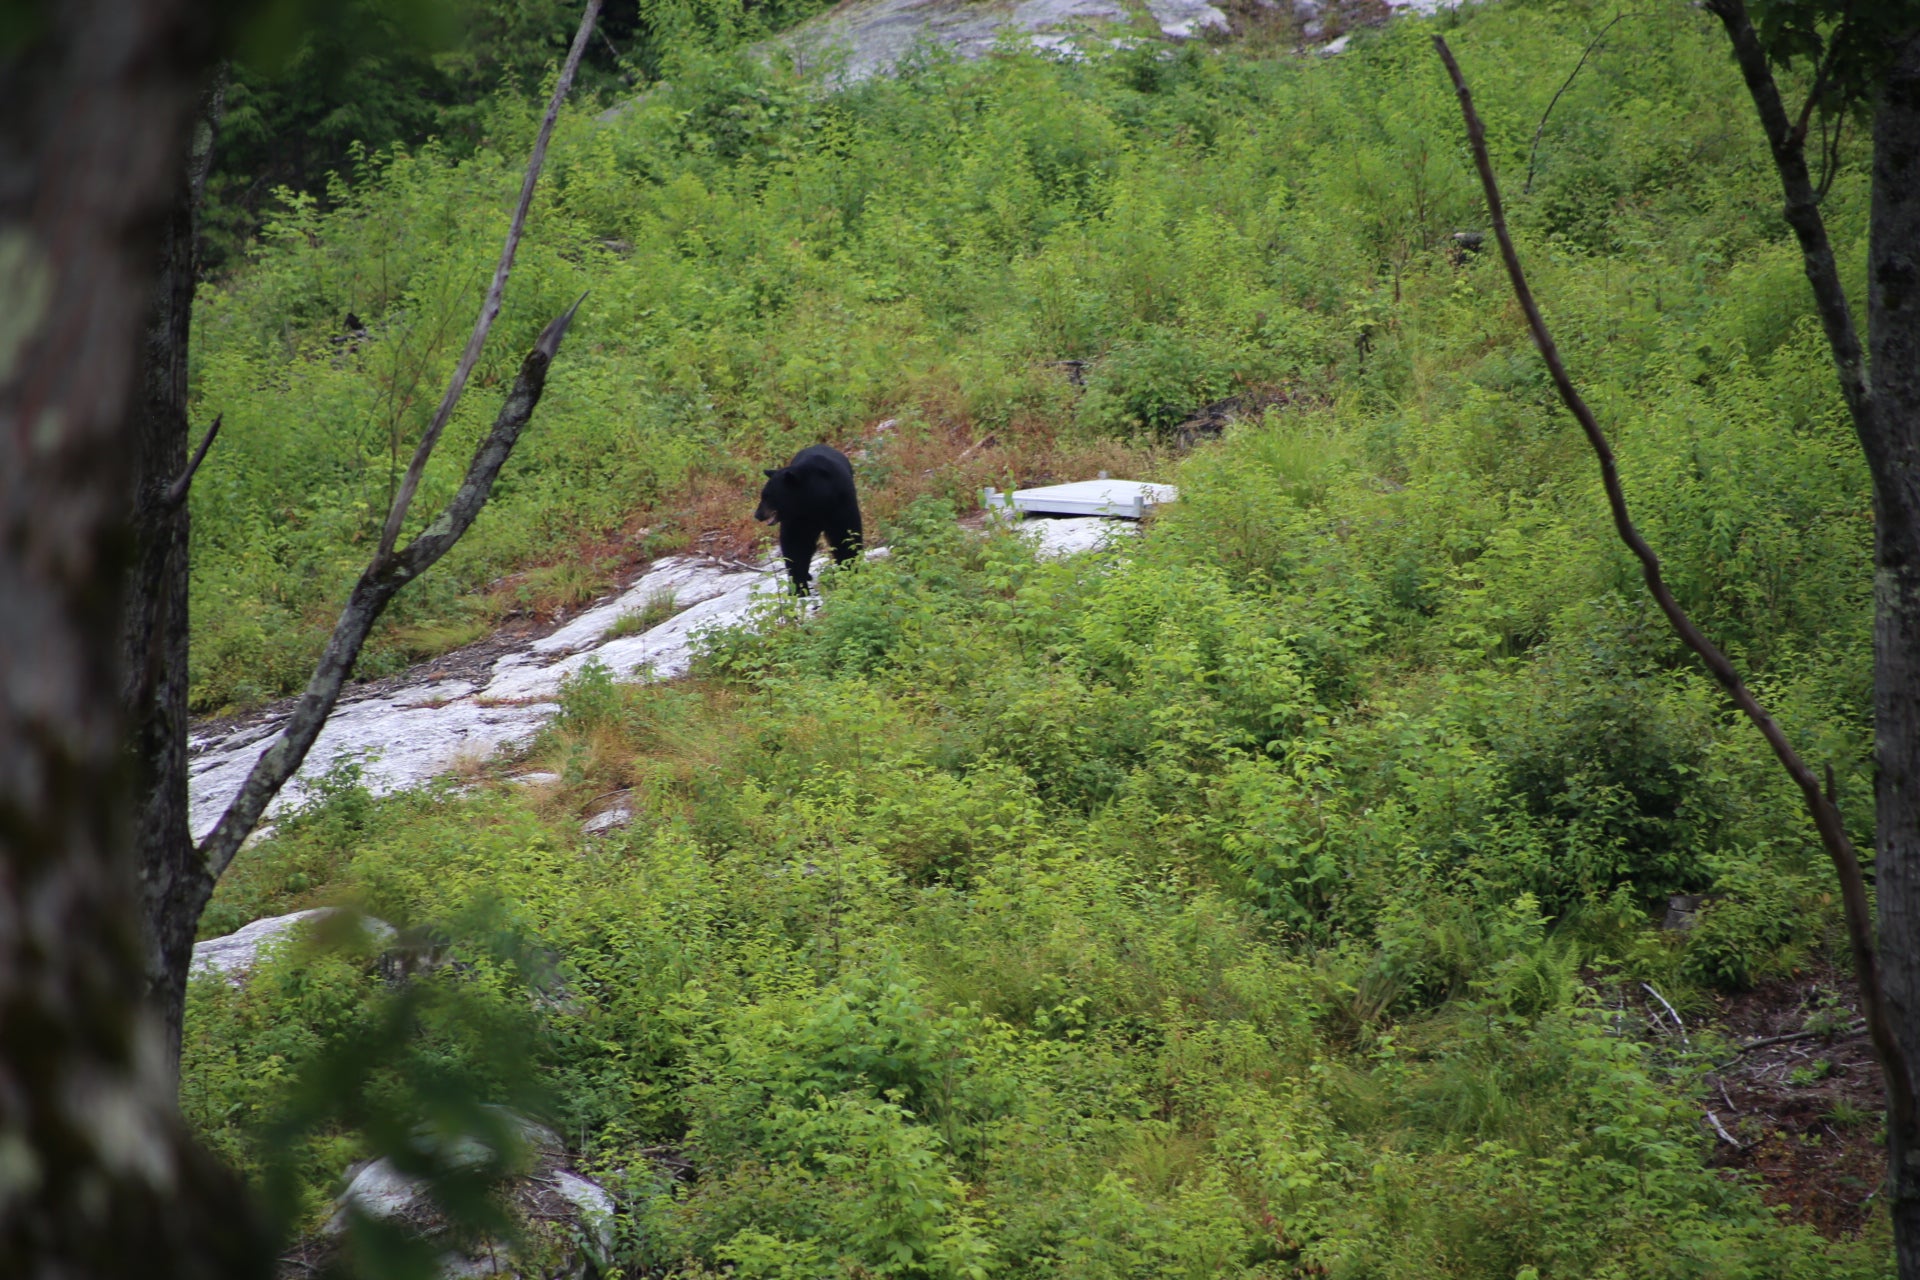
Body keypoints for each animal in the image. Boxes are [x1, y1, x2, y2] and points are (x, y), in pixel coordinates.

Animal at [754, 444, 863, 595]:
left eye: (767, 496)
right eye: (763, 495)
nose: (757, 514)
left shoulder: (840, 503)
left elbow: (845, 535)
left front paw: (849, 571)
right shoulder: (798, 518)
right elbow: (796, 544)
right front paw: (798, 588)